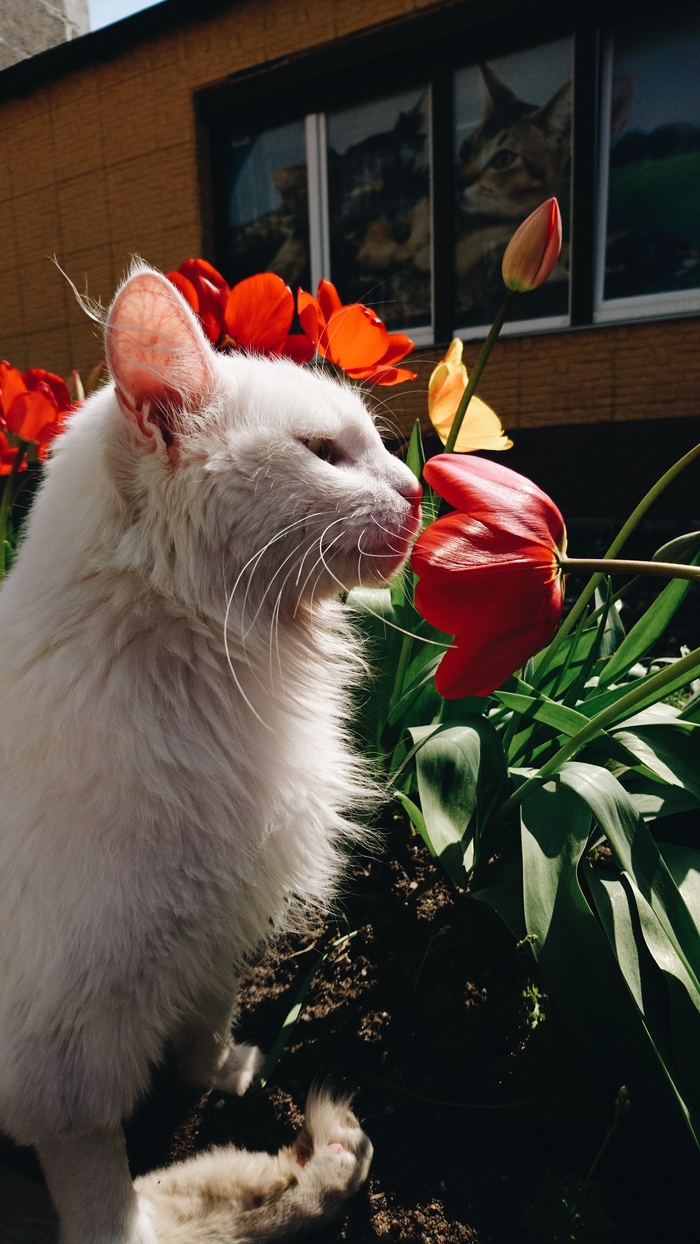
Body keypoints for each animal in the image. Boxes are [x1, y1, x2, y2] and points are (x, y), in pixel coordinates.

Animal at [0, 267, 422, 1239]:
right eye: (324, 452)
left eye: (377, 444)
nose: (420, 488)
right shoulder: (60, 1055)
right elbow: (100, 1197)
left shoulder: (210, 925)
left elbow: (203, 1020)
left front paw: (228, 1072)